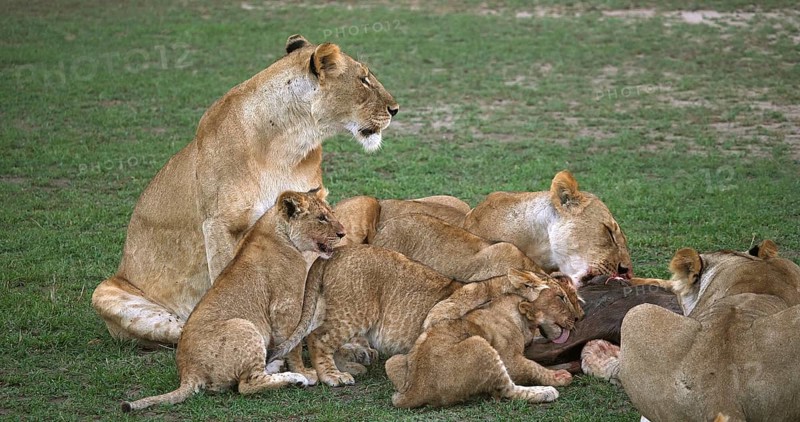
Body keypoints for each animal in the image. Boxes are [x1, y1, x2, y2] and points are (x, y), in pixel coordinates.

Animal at [92, 34, 398, 346]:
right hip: (104, 293)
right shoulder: (219, 224)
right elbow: (227, 277)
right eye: (363, 79)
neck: (288, 141)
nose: (395, 109)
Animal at [121, 189, 344, 412]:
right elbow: (293, 344)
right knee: (247, 385)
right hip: (243, 326)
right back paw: (295, 377)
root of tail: (188, 371)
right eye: (321, 218)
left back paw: (274, 365)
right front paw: (304, 371)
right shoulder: (285, 305)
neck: (277, 229)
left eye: (331, 213)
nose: (343, 233)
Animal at [267, 245, 553, 387]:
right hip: (355, 310)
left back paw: (349, 367)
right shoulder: (441, 315)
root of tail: (333, 253)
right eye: (558, 296)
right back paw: (333, 377)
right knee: (318, 338)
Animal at [386, 272, 583, 408]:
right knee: (509, 391)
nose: (577, 318)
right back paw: (548, 391)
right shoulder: (510, 360)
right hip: (479, 345)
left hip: (394, 360)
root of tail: (414, 392)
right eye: (561, 297)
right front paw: (556, 377)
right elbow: (533, 367)